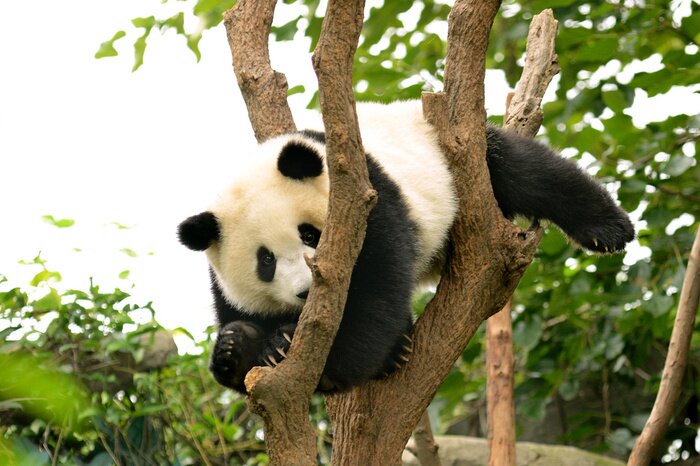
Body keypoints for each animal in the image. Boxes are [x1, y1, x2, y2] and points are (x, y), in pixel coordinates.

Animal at [178, 100, 634, 393]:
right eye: (266, 261)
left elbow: (374, 297)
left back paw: (609, 228)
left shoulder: (370, 201)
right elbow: (237, 316)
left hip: (454, 155)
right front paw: (242, 347)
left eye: (310, 234)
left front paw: (314, 356)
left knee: (526, 171)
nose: (307, 292)